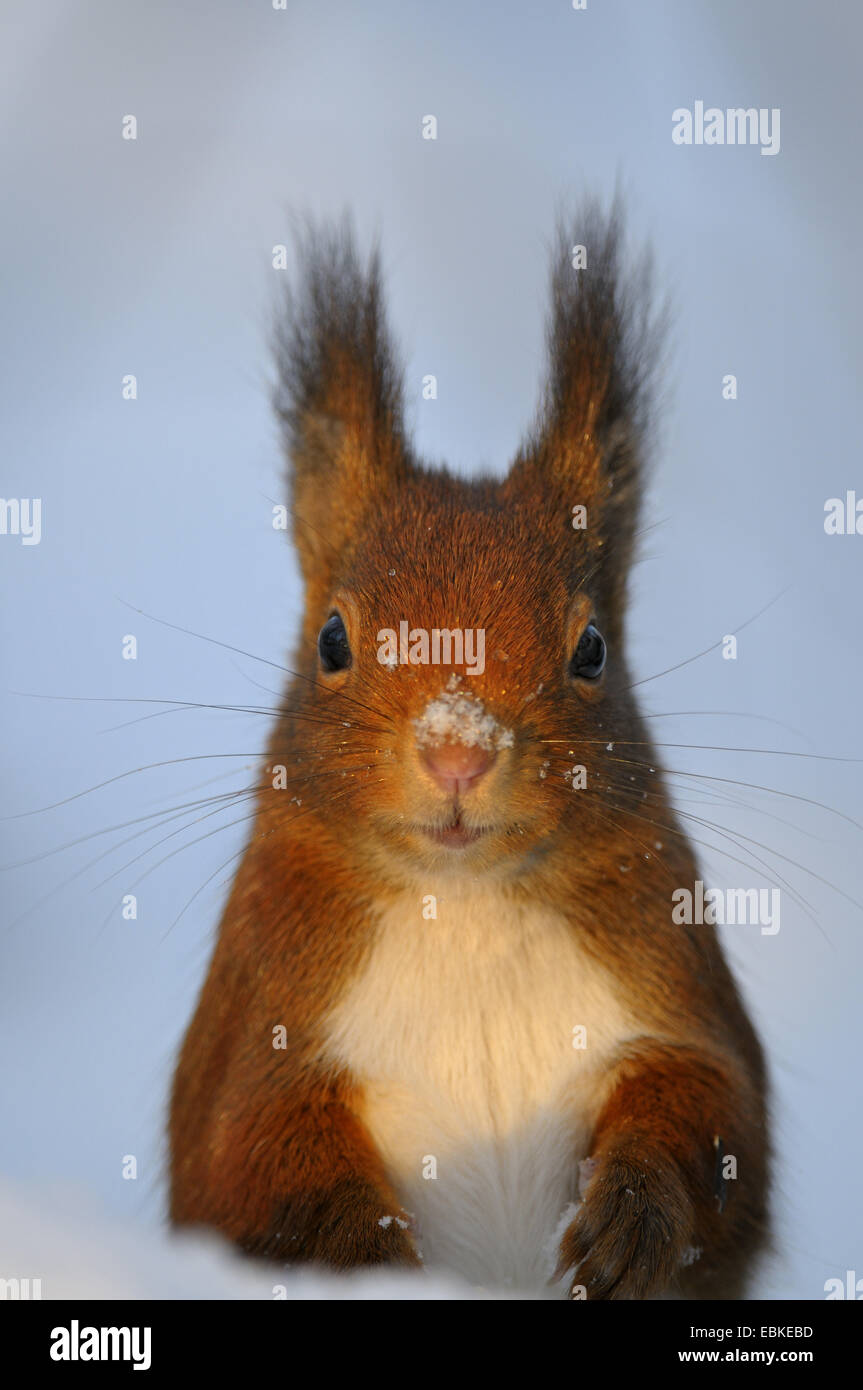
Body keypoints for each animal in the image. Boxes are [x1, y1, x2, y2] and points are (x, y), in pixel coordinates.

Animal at [168, 208, 767, 1301]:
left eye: (591, 648)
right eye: (331, 640)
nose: (457, 750)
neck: (466, 910)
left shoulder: (672, 983)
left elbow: (715, 1113)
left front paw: (632, 1218)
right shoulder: (258, 1038)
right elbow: (258, 1165)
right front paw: (369, 1258)